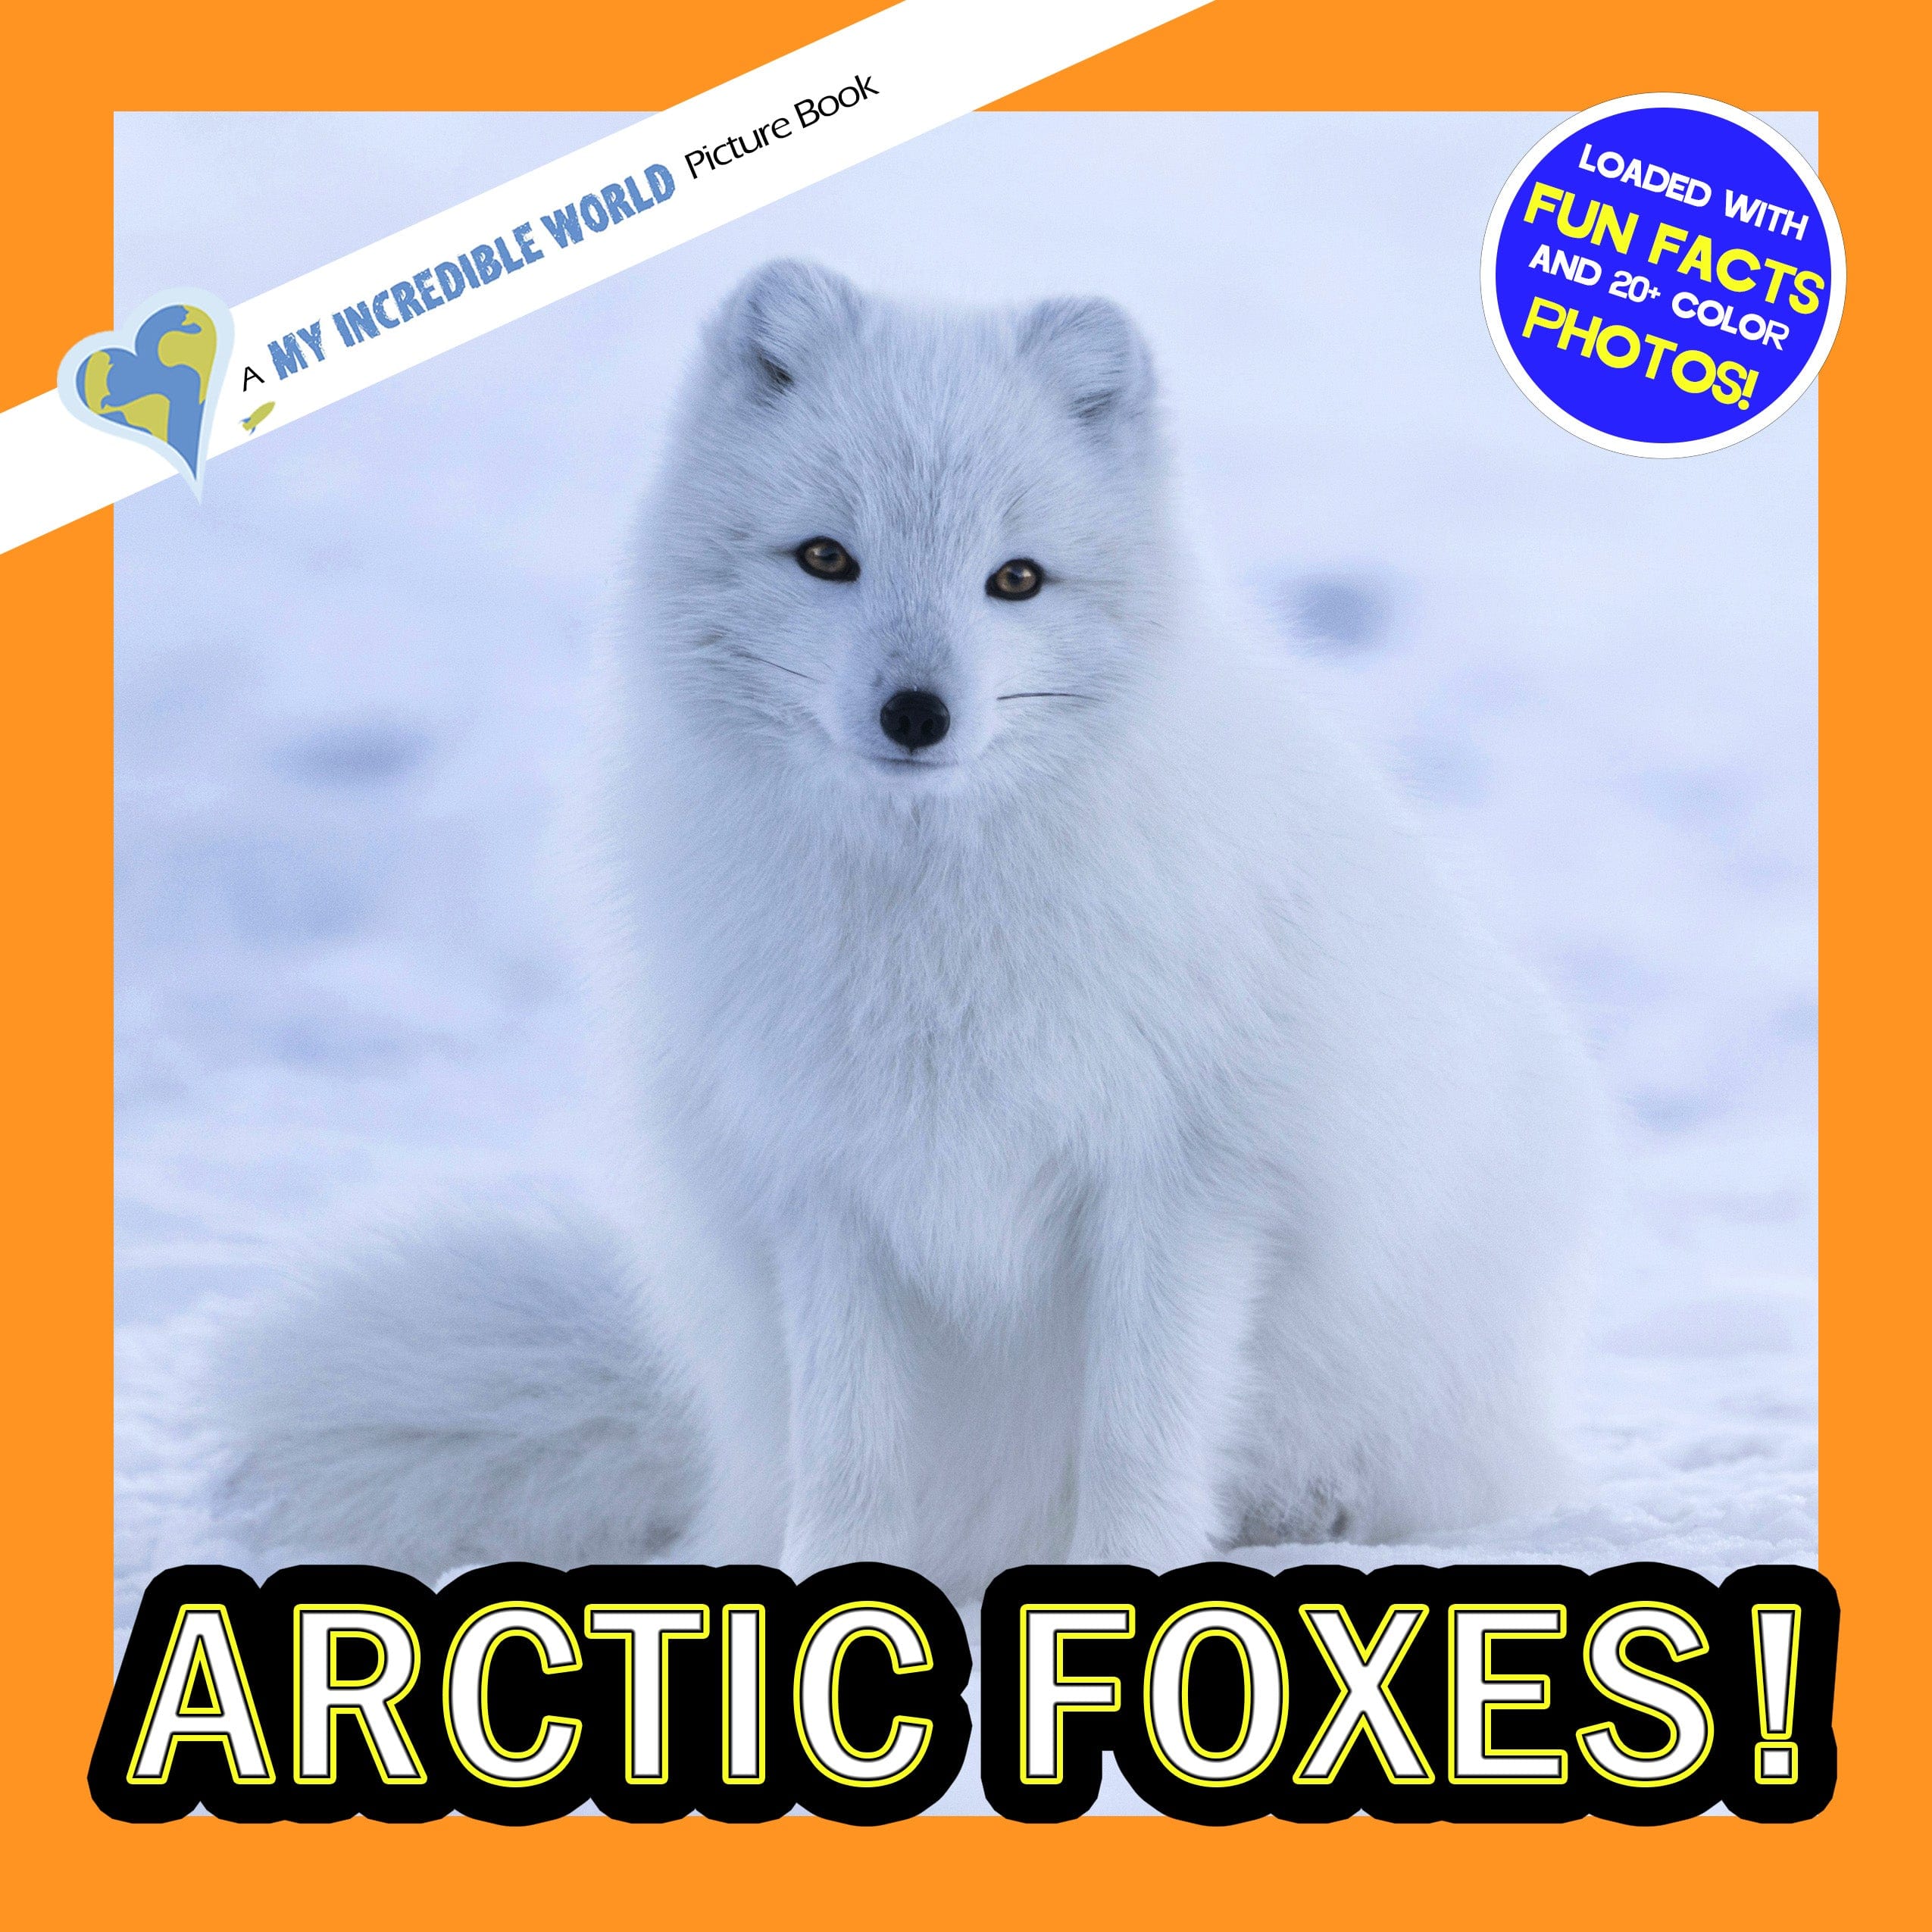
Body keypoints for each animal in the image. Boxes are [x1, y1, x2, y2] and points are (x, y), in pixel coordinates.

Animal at [210, 262, 1604, 1597]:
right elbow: (853, 1456)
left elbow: (1139, 1439)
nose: (918, 713)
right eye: (827, 558)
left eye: (1016, 579)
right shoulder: (825, 1190)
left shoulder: (1183, 1184)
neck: (932, 925)